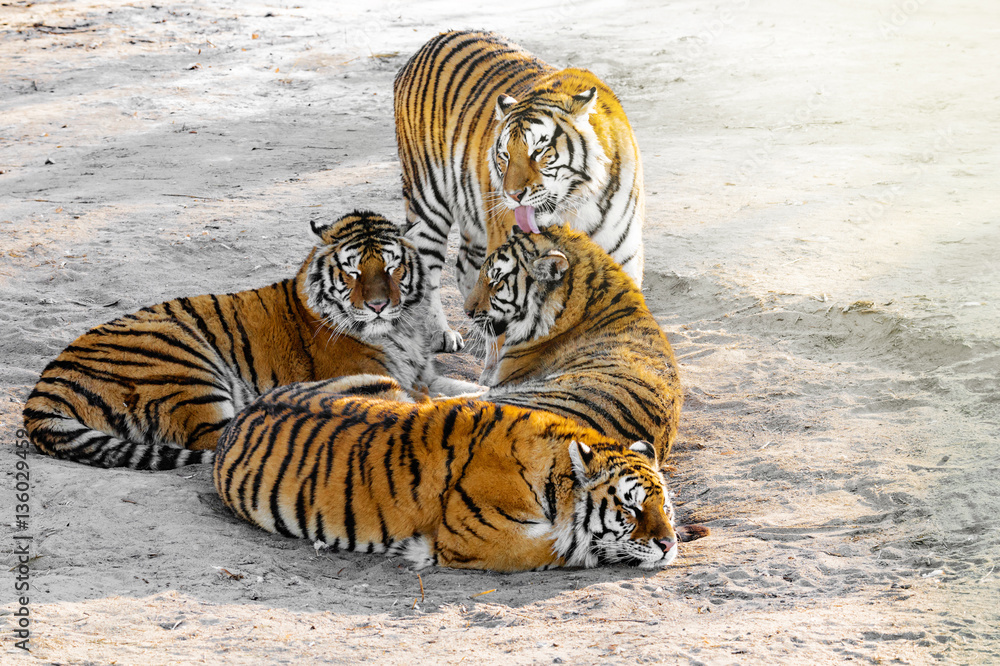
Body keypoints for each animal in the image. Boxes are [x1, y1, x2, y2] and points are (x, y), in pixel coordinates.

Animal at [21, 211, 481, 471]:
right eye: (352, 270)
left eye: (390, 267)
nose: (379, 305)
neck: (402, 328)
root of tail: (45, 384)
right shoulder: (376, 377)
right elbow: (444, 398)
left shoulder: (422, 373)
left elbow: (466, 384)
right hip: (185, 365)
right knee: (224, 434)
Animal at [212, 375, 681, 572]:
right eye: (630, 509)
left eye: (666, 508)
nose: (669, 545)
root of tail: (244, 410)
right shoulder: (482, 539)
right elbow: (561, 546)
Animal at [395, 29, 645, 352]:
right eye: (504, 155)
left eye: (538, 152)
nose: (512, 196)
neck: (577, 206)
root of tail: (429, 43)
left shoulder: (624, 258)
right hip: (428, 199)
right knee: (428, 265)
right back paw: (442, 334)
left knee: (465, 266)